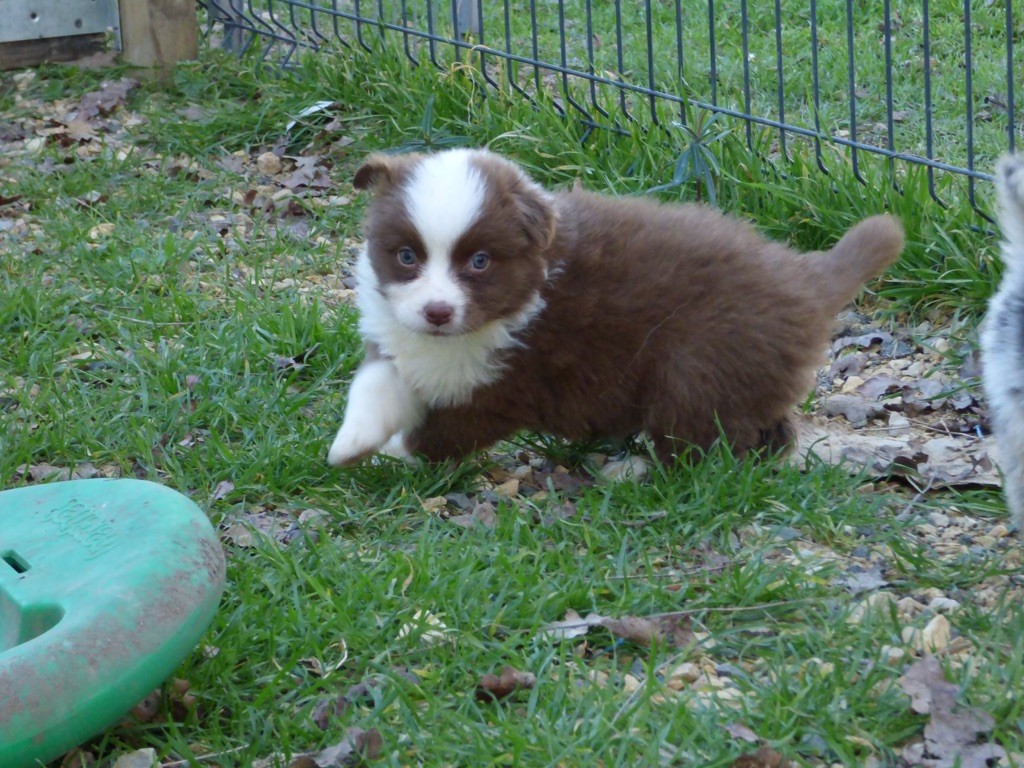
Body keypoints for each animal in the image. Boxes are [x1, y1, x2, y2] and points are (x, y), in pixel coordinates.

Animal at [327, 148, 904, 468]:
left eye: (481, 262)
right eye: (406, 256)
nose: (438, 312)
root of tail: (806, 278)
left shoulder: (506, 387)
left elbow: (441, 433)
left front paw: (393, 454)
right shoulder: (400, 338)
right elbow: (374, 383)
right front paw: (350, 444)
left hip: (698, 367)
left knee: (701, 442)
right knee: (766, 431)